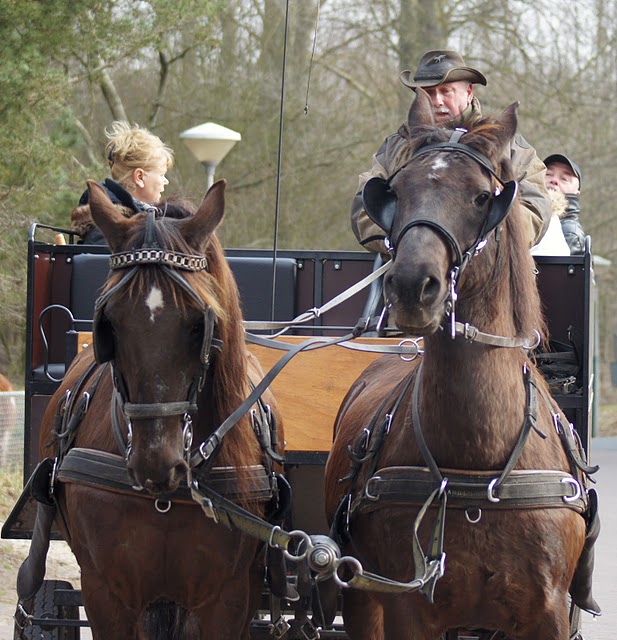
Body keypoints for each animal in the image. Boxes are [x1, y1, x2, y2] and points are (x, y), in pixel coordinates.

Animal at [322, 92, 588, 636]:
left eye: (482, 198)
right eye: (395, 191)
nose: (410, 286)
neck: (474, 463)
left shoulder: (548, 612)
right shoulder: (408, 607)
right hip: (362, 598)